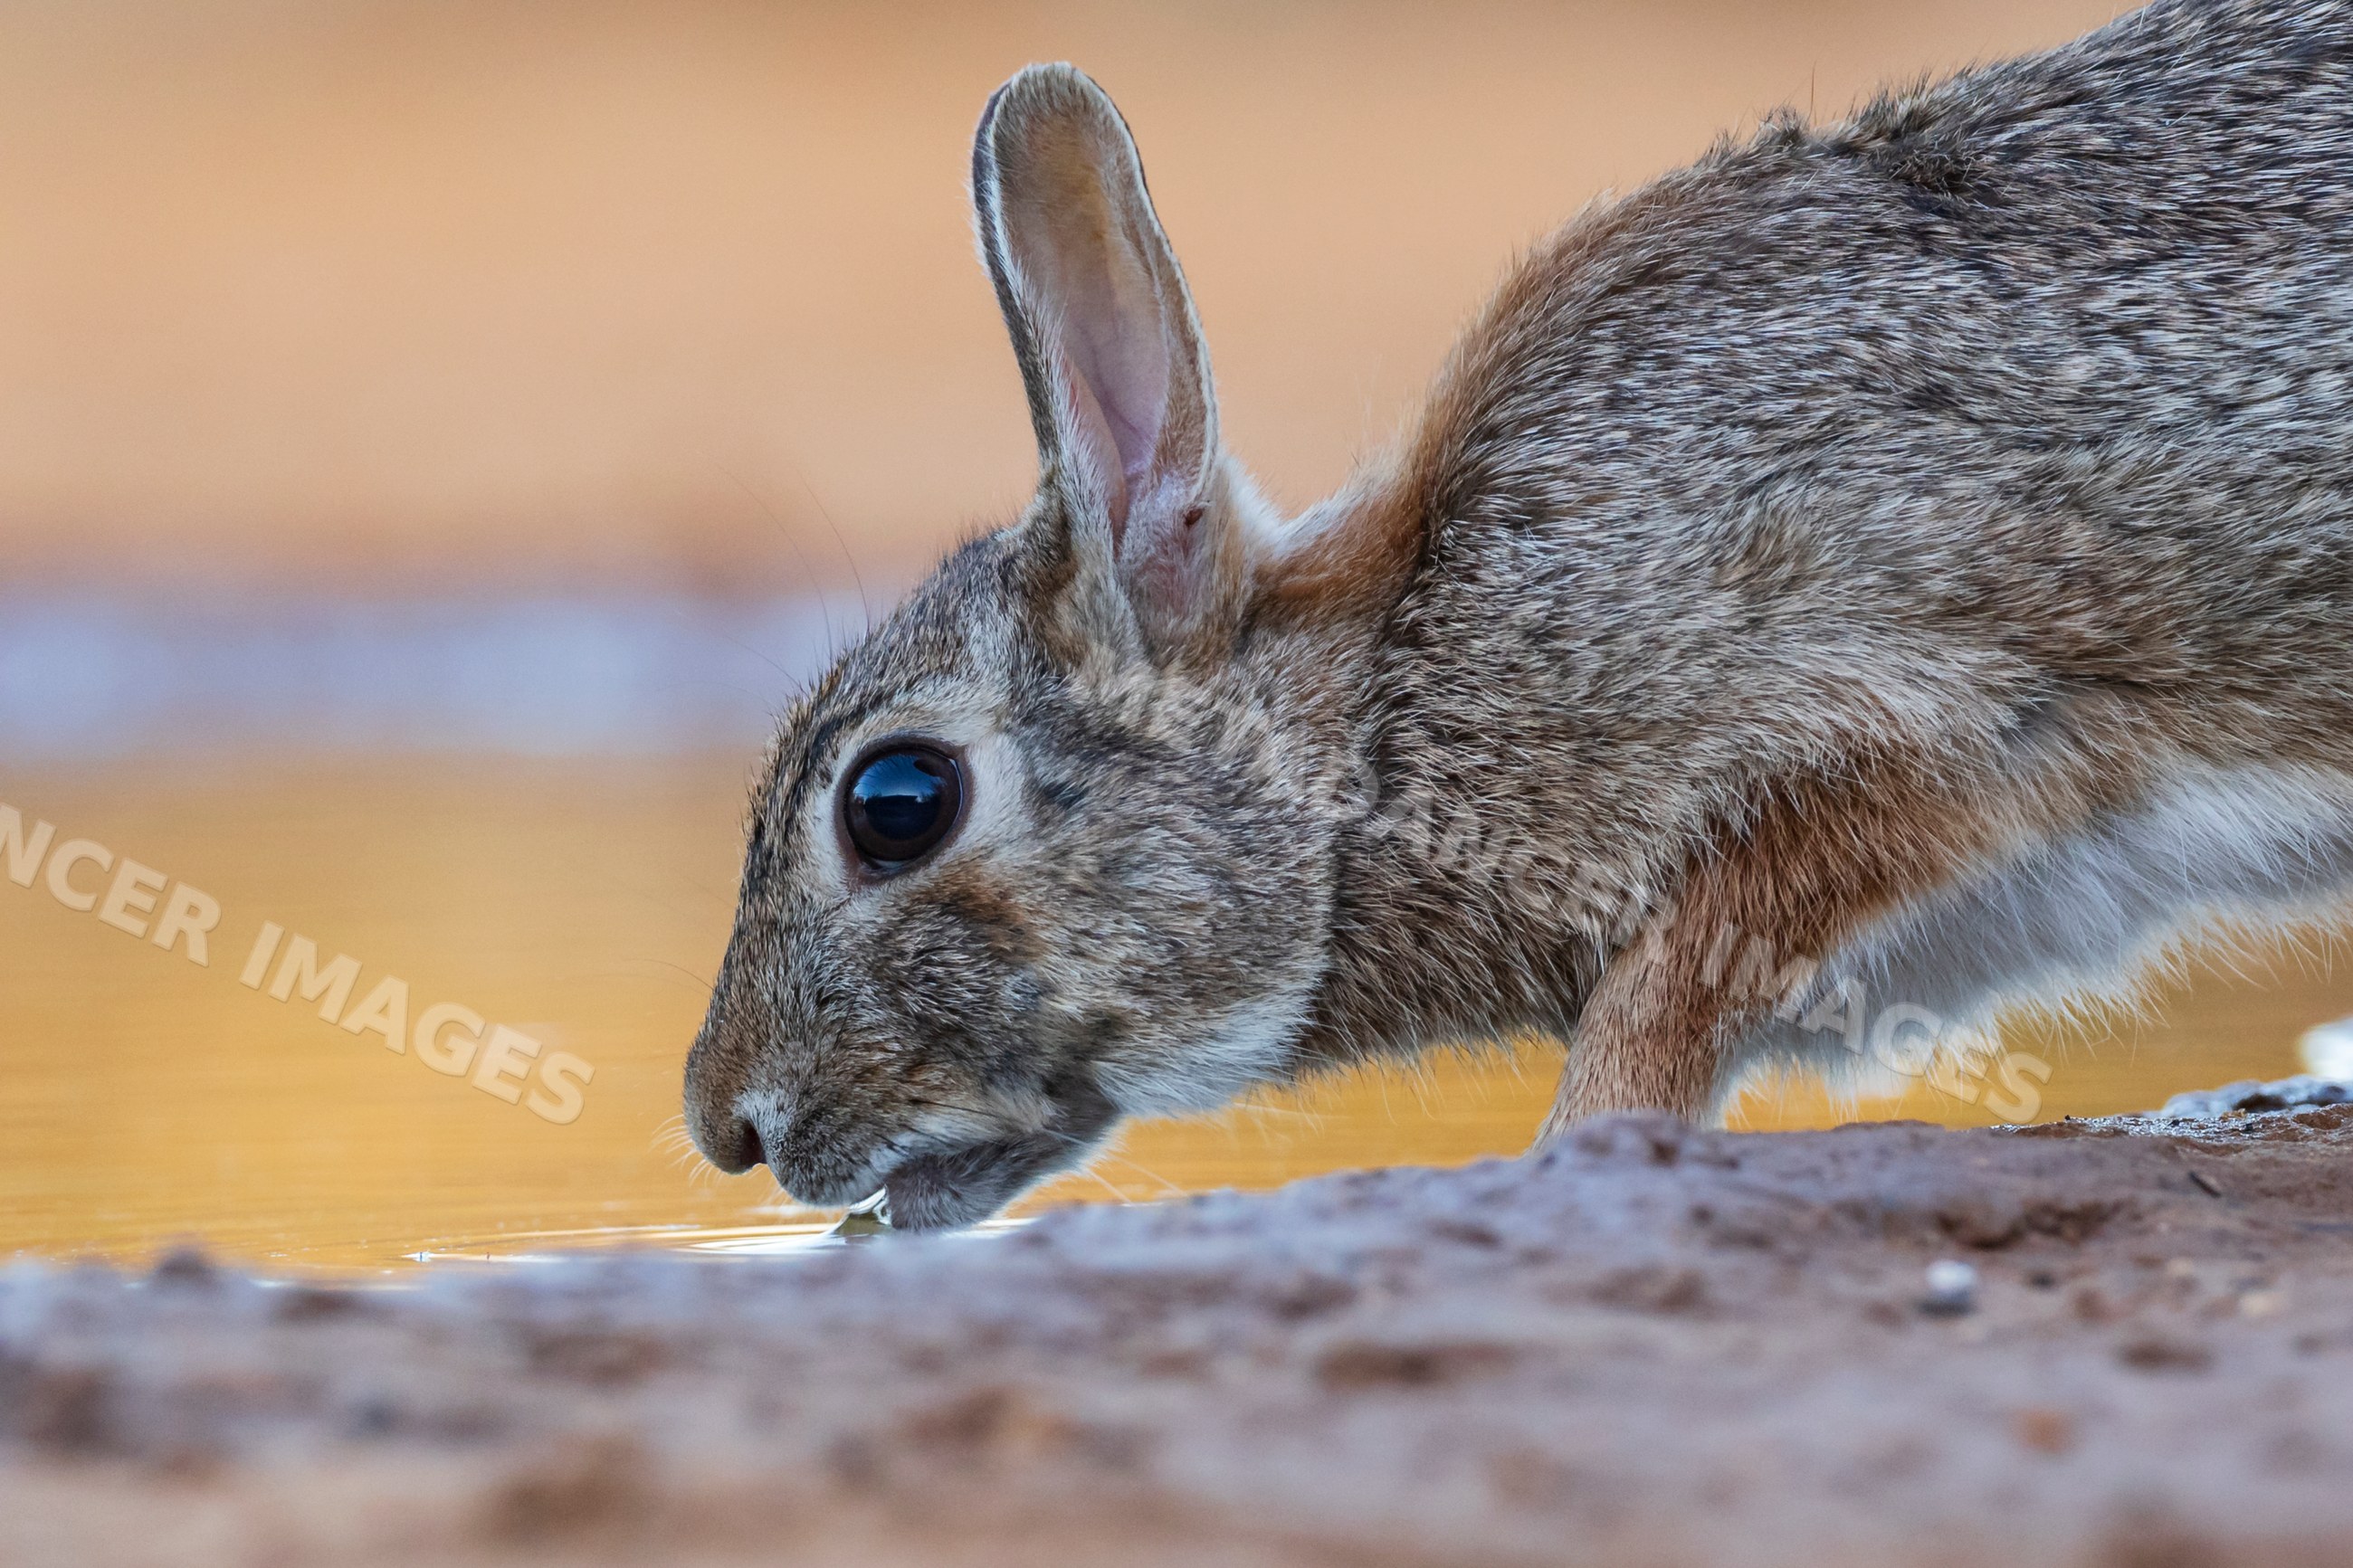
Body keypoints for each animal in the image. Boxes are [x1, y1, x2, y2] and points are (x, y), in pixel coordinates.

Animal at [685, 0, 2353, 1229]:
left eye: (900, 802)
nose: (724, 1127)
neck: (1387, 697)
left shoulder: (1903, 729)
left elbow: (1657, 1007)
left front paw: (1569, 1155)